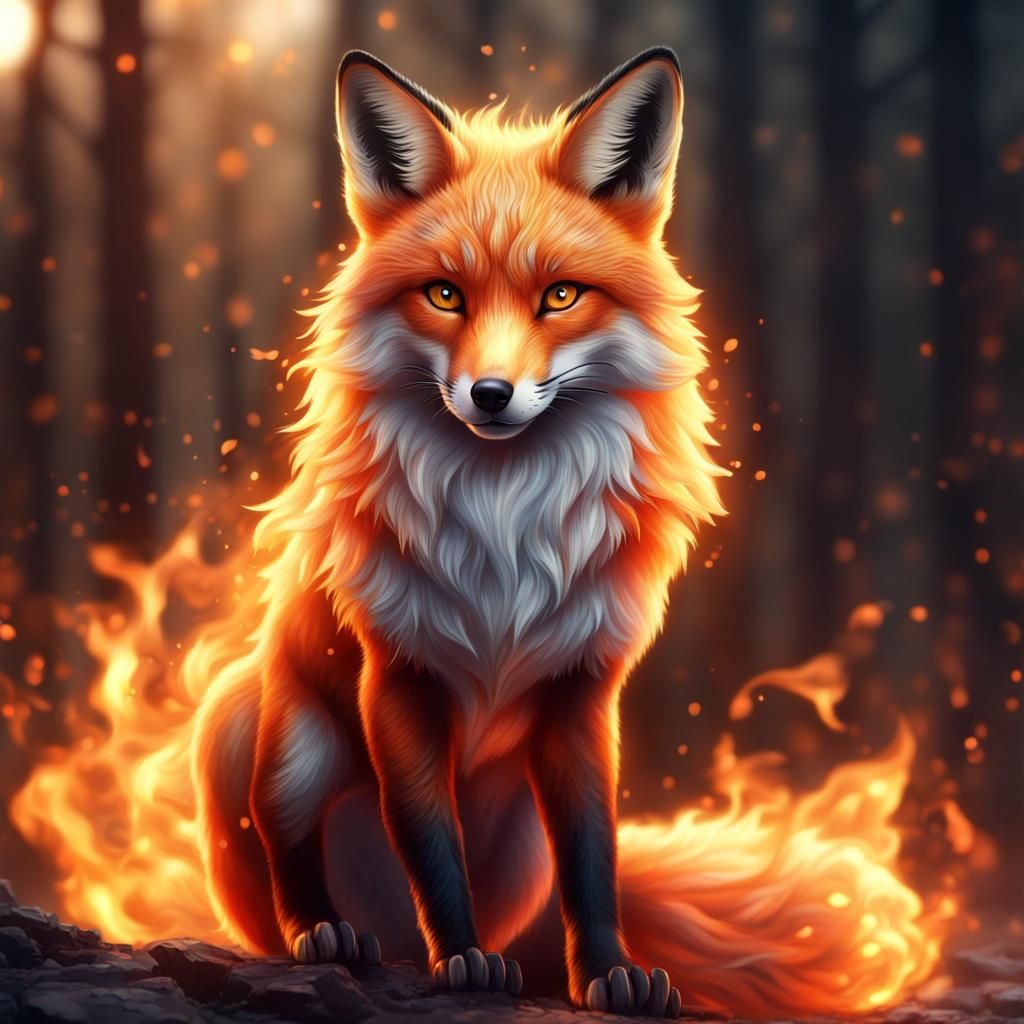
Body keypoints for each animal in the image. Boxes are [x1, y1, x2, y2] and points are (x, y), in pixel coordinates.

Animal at [191, 48, 727, 1017]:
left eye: (560, 296)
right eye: (444, 294)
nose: (490, 394)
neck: (503, 532)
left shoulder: (582, 694)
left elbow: (594, 858)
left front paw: (610, 974)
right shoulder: (397, 680)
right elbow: (432, 848)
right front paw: (466, 959)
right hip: (266, 727)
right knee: (289, 850)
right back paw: (326, 935)